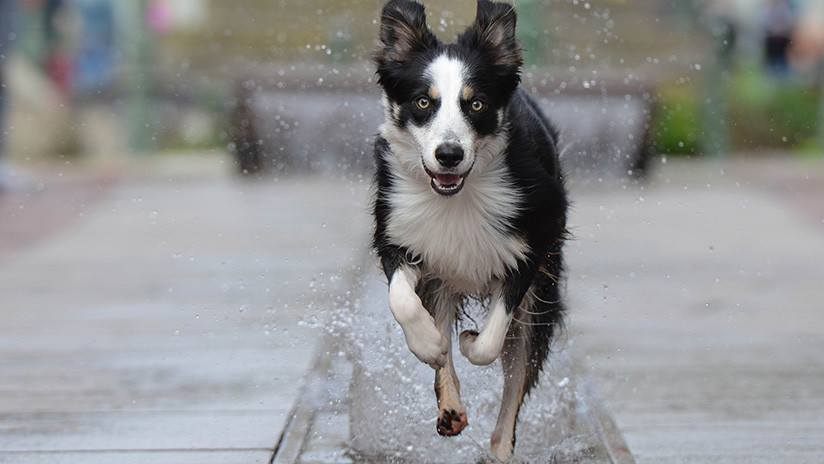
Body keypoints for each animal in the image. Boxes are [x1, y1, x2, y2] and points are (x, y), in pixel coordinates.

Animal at [372, 0, 568, 460]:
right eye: (423, 102)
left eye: (476, 104)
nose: (449, 155)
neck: (454, 197)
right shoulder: (397, 232)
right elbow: (403, 301)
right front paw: (429, 344)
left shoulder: (533, 243)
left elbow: (491, 340)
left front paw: (468, 341)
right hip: (442, 278)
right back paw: (450, 405)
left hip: (543, 295)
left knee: (516, 380)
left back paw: (498, 448)